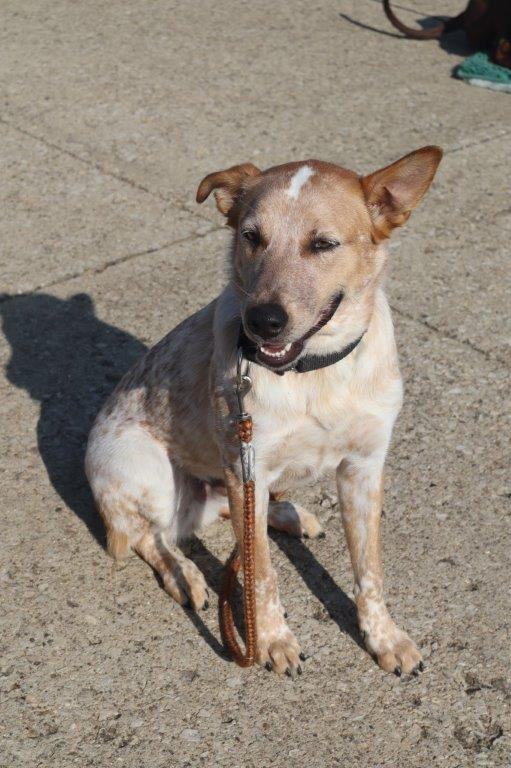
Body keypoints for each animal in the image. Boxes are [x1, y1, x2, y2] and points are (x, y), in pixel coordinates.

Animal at [86, 147, 442, 676]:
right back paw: (186, 575)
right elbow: (260, 575)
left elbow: (369, 572)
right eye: (251, 236)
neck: (316, 371)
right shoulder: (244, 467)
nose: (263, 321)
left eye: (323, 244)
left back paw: (290, 515)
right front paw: (273, 640)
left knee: (225, 519)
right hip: (150, 473)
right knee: (153, 536)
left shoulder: (363, 467)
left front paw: (384, 637)